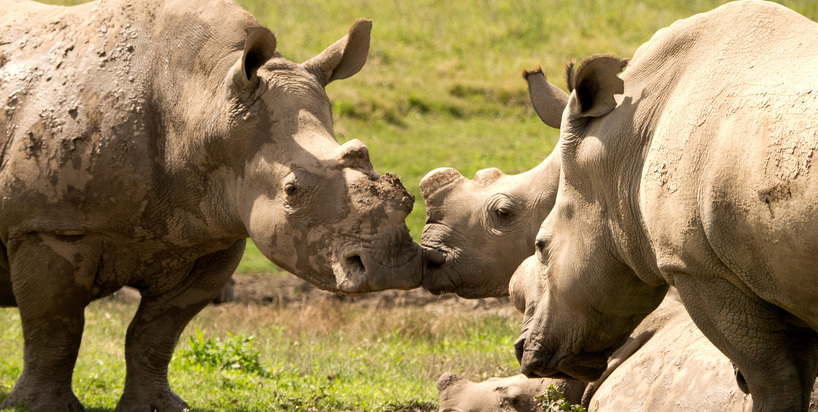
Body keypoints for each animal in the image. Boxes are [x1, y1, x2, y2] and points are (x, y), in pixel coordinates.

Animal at [0, 0, 421, 410]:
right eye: (291, 190)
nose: (390, 267)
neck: (205, 102)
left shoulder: (211, 237)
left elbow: (156, 332)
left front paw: (159, 406)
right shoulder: (49, 226)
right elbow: (56, 327)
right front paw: (41, 407)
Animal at [511, 1, 818, 410]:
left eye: (541, 247)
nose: (520, 349)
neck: (621, 153)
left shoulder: (698, 269)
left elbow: (773, 382)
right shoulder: (780, 274)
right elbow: (798, 377)